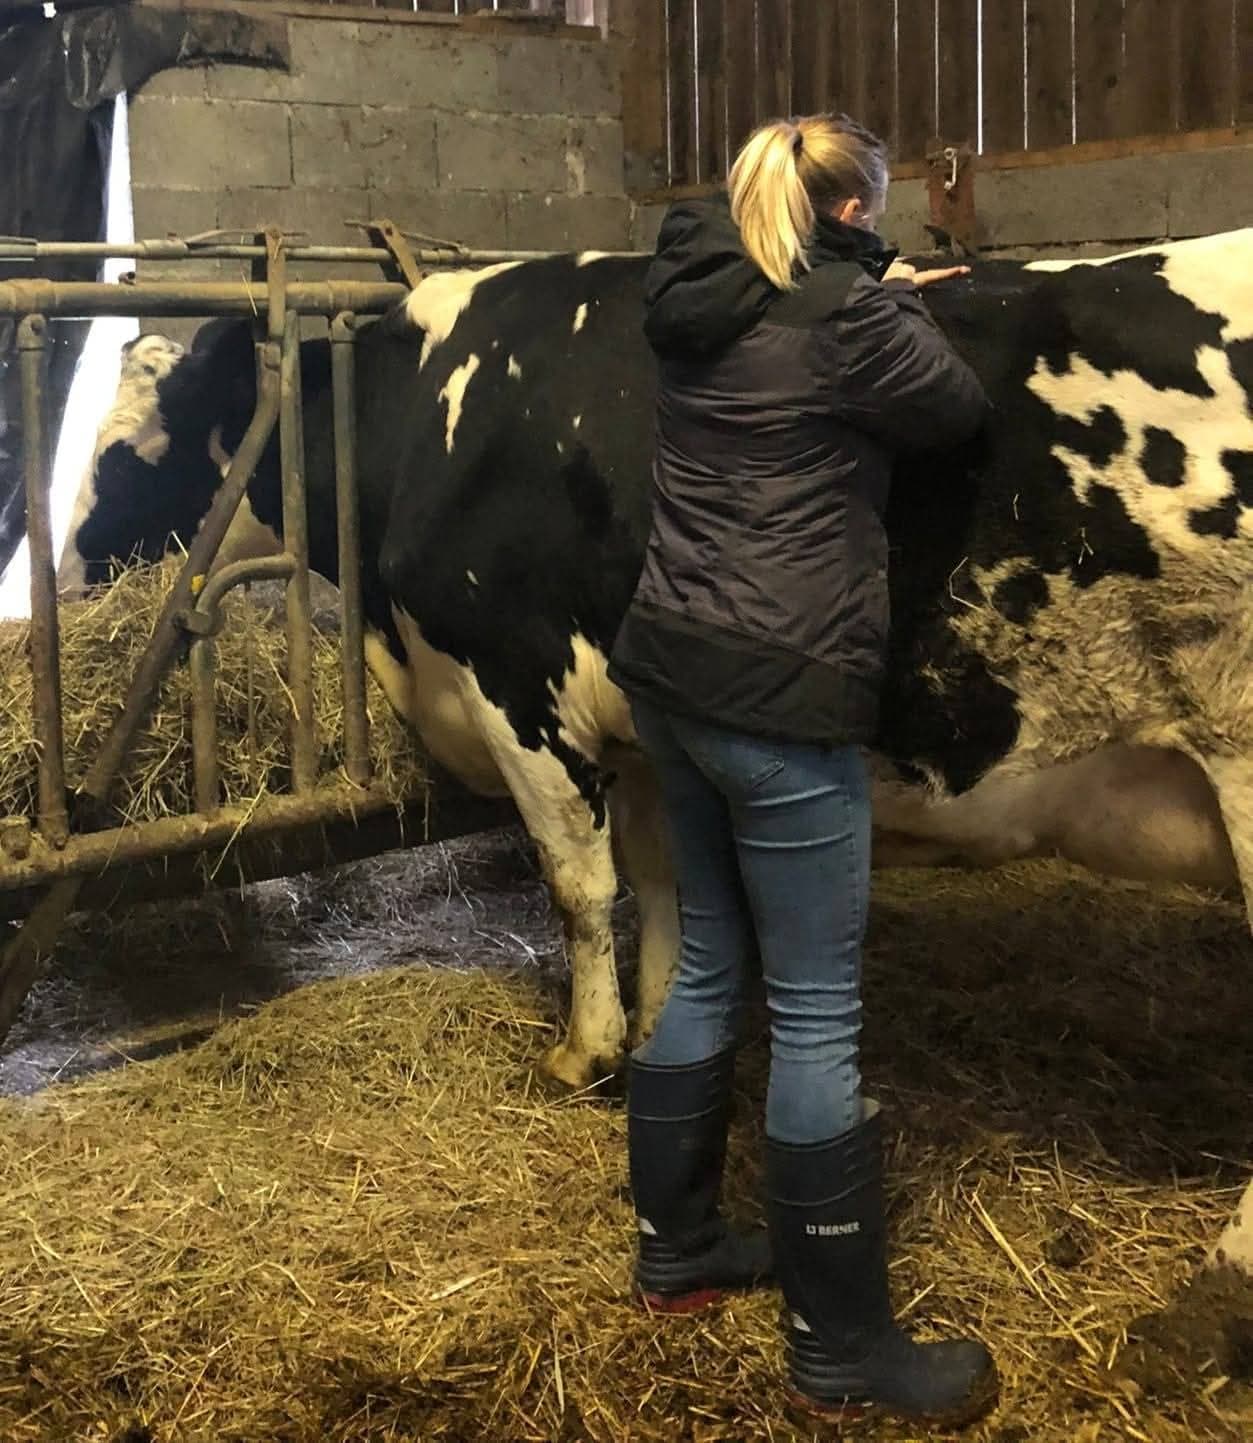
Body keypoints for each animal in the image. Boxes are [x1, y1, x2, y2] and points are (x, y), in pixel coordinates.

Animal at [53, 230, 1253, 1275]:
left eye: (123, 453)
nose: (65, 579)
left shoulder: (519, 686)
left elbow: (580, 887)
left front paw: (584, 1052)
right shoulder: (641, 725)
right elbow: (671, 888)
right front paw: (666, 1025)